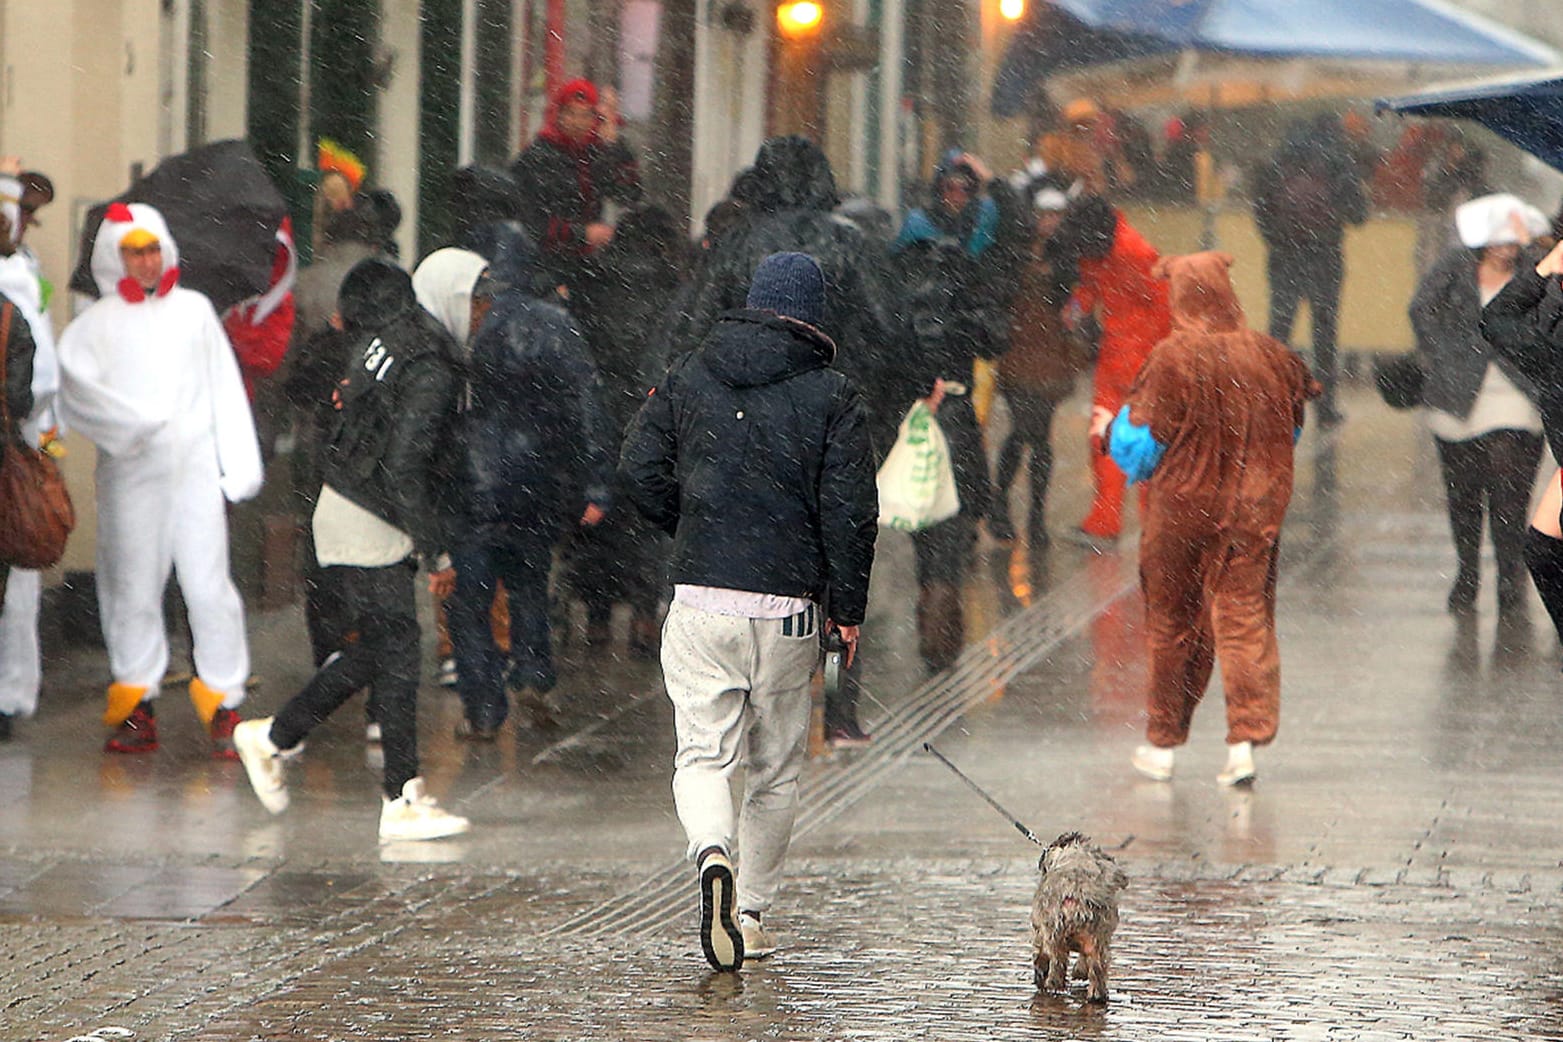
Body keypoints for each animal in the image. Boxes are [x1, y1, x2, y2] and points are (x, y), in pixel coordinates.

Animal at [1031, 831, 1131, 999]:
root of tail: (1078, 894)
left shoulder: (1040, 930)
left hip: (1055, 936)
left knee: (1057, 966)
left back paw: (1052, 985)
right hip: (1098, 939)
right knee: (1097, 969)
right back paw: (1097, 994)